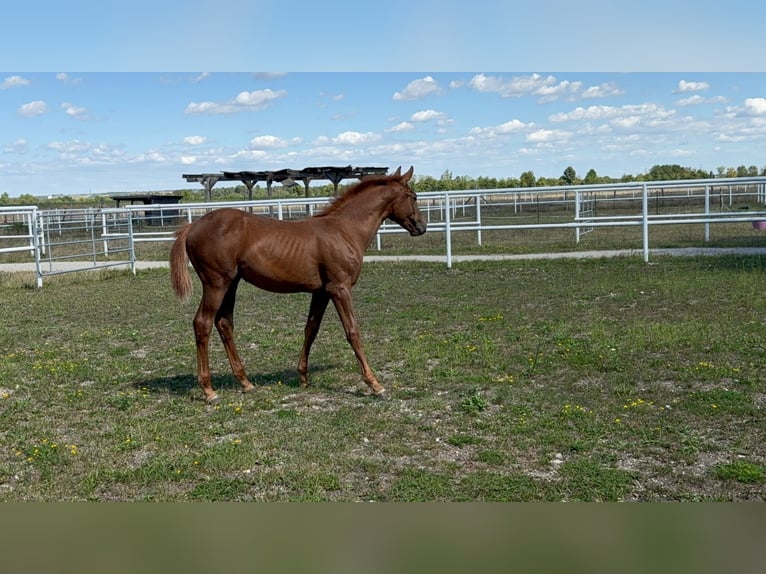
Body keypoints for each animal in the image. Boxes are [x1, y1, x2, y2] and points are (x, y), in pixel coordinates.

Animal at [169, 166, 426, 404]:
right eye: (413, 196)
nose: (421, 227)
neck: (344, 230)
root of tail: (192, 227)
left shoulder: (322, 292)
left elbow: (311, 329)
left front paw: (303, 377)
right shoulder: (340, 288)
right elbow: (353, 331)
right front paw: (375, 385)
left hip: (231, 284)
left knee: (224, 324)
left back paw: (245, 382)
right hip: (215, 284)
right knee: (202, 324)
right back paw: (209, 390)